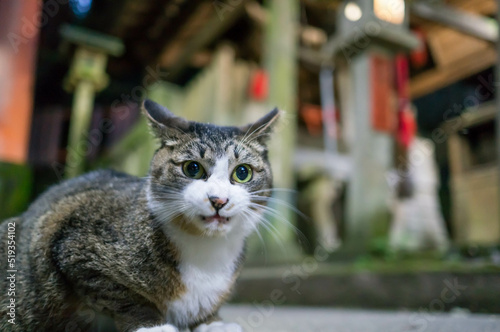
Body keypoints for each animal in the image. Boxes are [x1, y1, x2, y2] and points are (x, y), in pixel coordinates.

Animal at [0, 100, 280, 332]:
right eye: (192, 168)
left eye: (242, 172)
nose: (218, 200)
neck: (205, 250)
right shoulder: (74, 245)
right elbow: (123, 295)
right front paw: (154, 326)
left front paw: (212, 323)